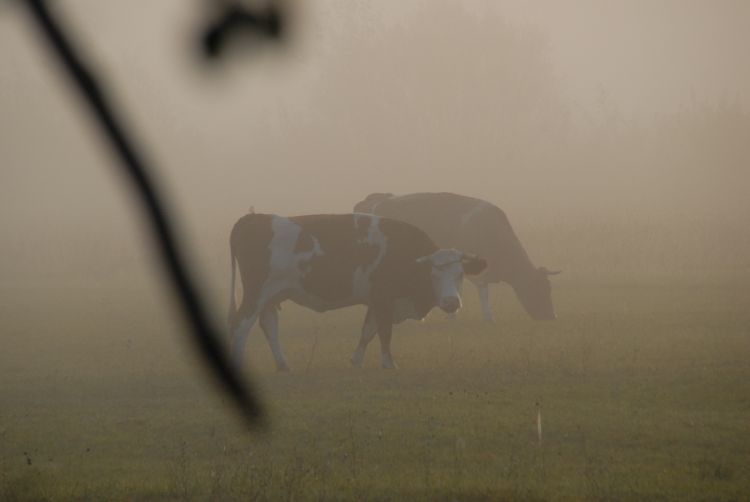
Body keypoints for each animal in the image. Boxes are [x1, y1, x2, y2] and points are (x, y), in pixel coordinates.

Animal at [229, 211, 488, 368]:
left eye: (461, 275)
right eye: (433, 275)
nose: (451, 302)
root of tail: (256, 217)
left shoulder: (377, 301)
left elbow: (367, 331)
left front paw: (356, 361)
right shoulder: (384, 299)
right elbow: (384, 332)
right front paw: (389, 364)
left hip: (271, 296)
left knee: (269, 326)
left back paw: (283, 365)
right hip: (256, 294)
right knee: (241, 325)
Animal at [356, 192, 560, 322]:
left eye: (549, 288)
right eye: (539, 289)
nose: (550, 317)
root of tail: (378, 199)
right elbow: (482, 290)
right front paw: (487, 317)